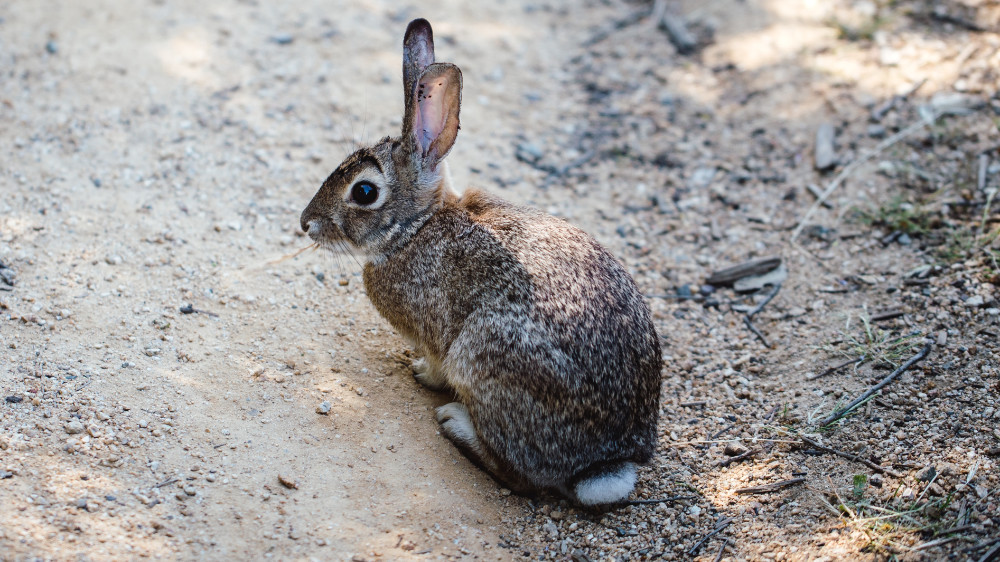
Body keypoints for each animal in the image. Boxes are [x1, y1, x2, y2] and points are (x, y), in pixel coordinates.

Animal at [300, 19, 668, 506]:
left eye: (363, 192)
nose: (306, 223)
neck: (418, 226)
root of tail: (608, 461)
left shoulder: (437, 333)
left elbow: (435, 363)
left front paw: (422, 374)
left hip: (482, 357)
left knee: (523, 477)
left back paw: (456, 423)